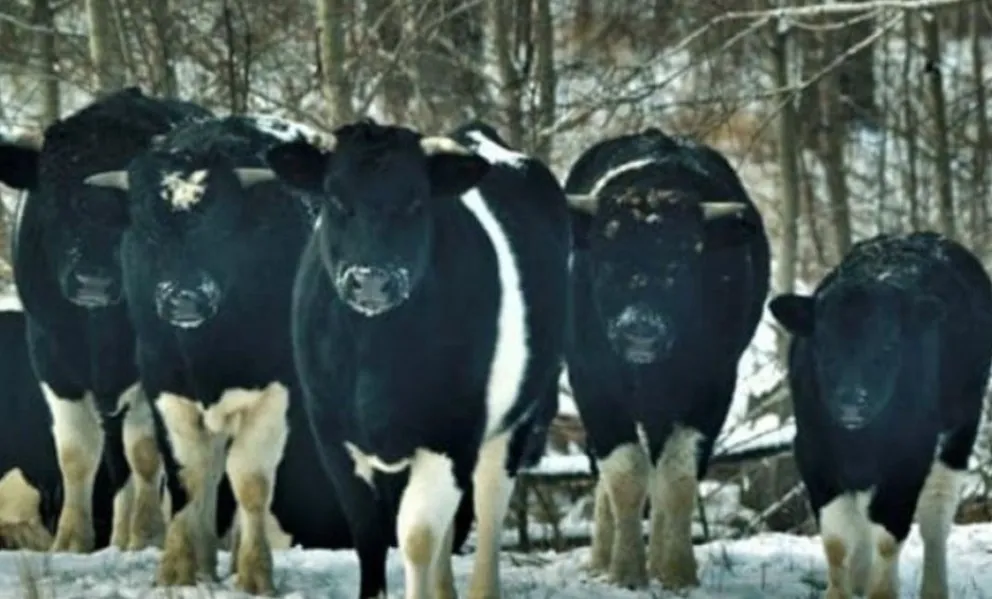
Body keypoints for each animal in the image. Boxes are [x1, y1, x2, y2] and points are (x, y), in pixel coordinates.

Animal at [0, 87, 212, 554]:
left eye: (130, 203)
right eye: (52, 193)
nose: (92, 278)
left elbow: (146, 451)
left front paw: (148, 533)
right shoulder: (51, 355)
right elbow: (76, 453)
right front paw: (71, 539)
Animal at [81, 114, 479, 593]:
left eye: (222, 230)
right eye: (146, 230)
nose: (184, 298)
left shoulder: (275, 393)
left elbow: (251, 482)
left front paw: (254, 572)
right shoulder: (166, 385)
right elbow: (187, 476)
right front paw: (178, 568)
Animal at [258, 118, 569, 599]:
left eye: (416, 201)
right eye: (335, 197)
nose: (371, 280)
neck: (375, 353)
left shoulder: (449, 433)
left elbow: (417, 536)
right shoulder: (333, 435)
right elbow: (368, 534)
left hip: (513, 421)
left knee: (489, 507)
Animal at [561, 128, 770, 590]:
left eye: (680, 262)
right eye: (606, 259)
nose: (640, 327)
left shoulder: (714, 383)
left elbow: (676, 475)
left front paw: (675, 569)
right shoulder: (591, 382)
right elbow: (623, 471)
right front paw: (624, 569)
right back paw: (601, 555)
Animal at [768, 231, 992, 599]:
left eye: (888, 345)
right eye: (823, 345)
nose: (852, 401)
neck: (860, 439)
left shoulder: (909, 457)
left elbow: (888, 536)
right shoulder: (812, 451)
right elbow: (836, 541)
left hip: (960, 430)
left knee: (935, 514)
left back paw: (933, 588)